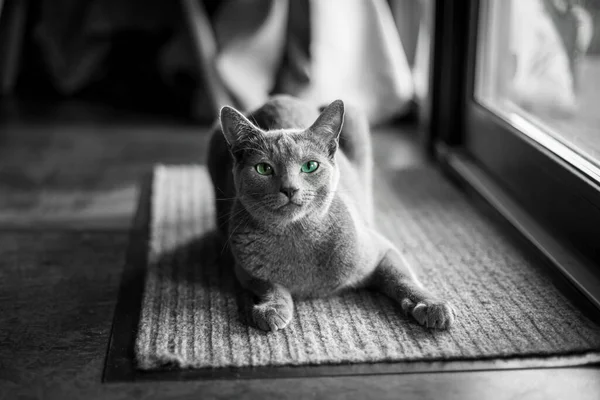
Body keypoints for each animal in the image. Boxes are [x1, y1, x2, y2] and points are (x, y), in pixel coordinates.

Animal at [206, 94, 454, 332]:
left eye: (310, 166)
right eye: (263, 169)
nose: (289, 189)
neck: (296, 235)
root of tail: (278, 97)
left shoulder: (382, 249)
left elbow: (402, 277)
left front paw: (432, 305)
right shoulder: (243, 268)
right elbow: (268, 283)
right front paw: (273, 308)